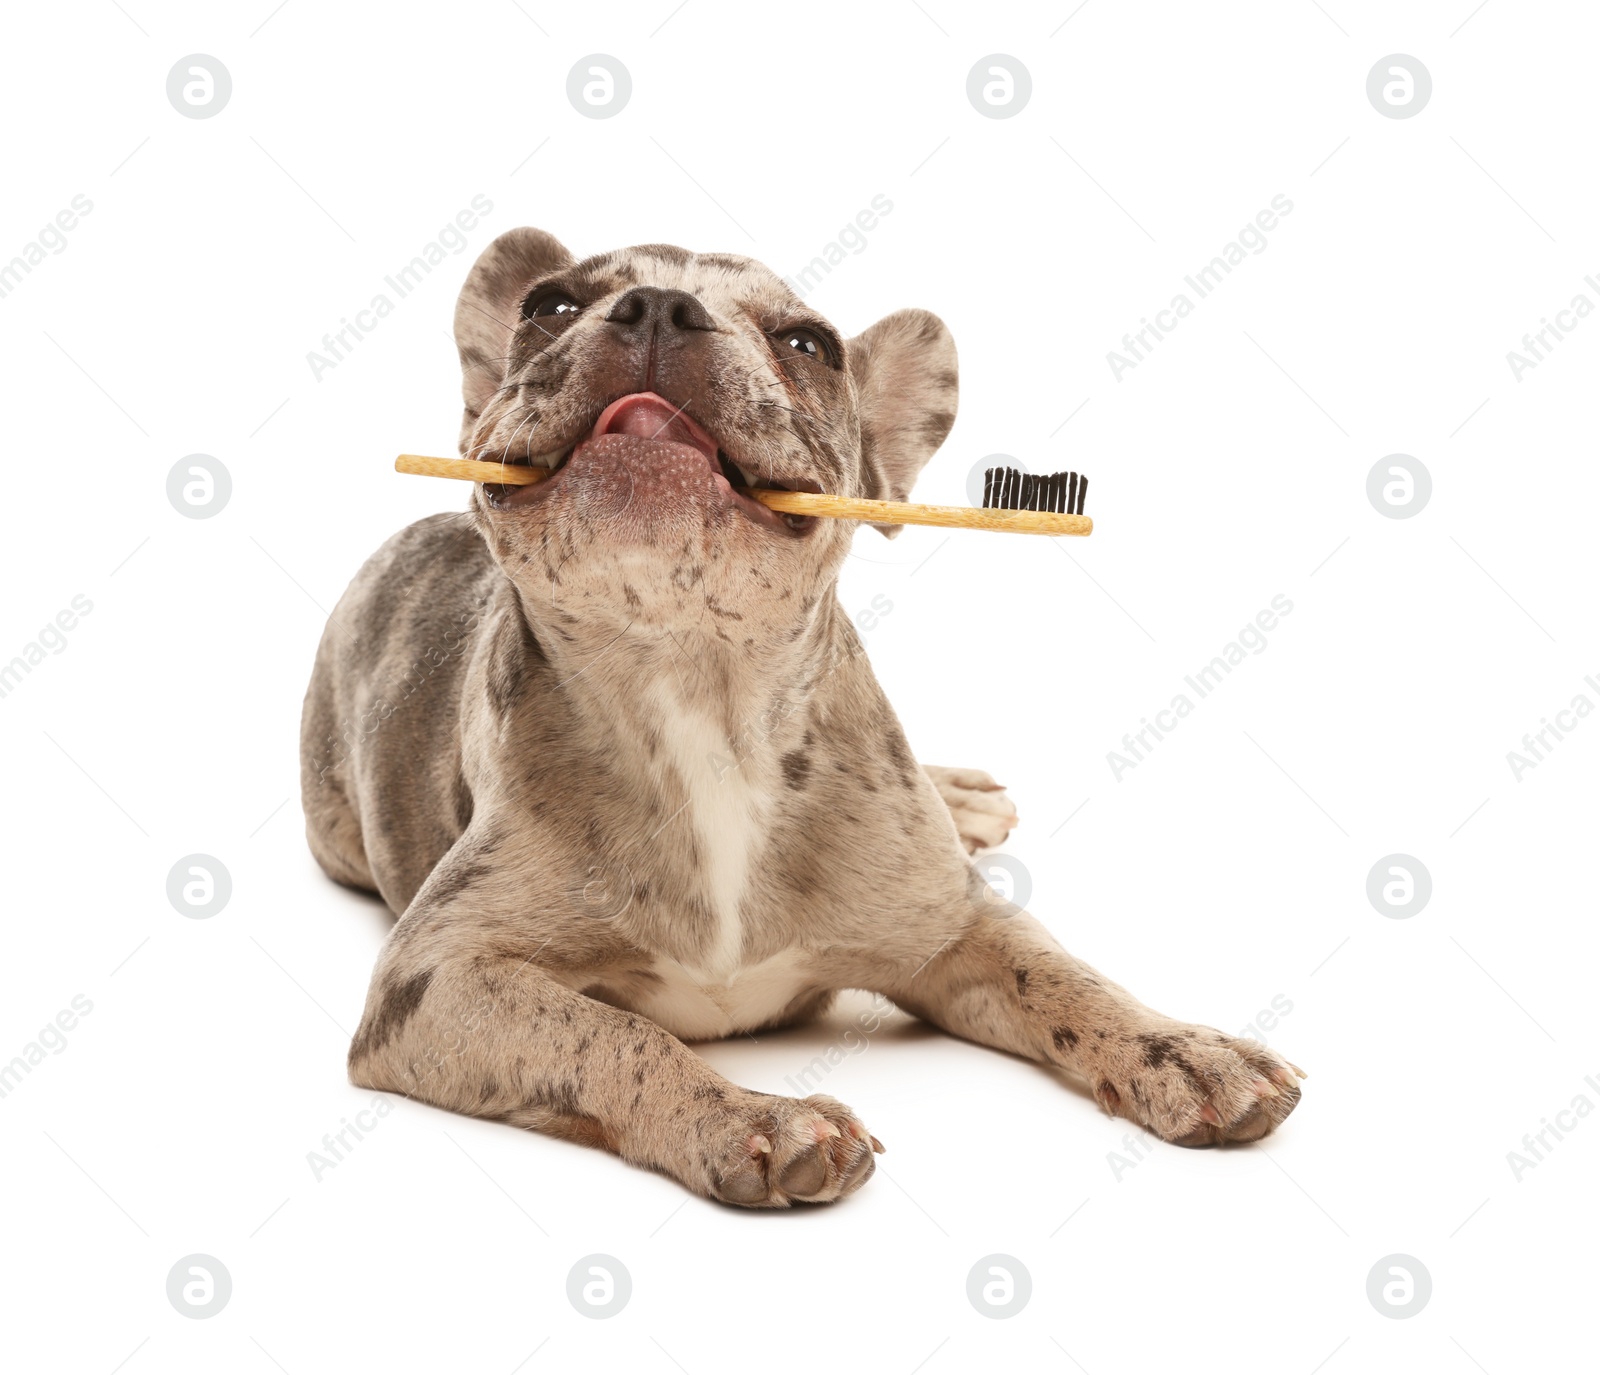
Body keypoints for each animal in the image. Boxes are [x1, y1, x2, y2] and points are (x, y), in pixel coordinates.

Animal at [300, 225, 1299, 1203]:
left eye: (809, 345)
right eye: (547, 307)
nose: (657, 305)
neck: (697, 689)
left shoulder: (957, 927)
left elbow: (1065, 975)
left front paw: (1183, 1049)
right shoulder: (437, 979)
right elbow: (612, 1034)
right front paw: (747, 1115)